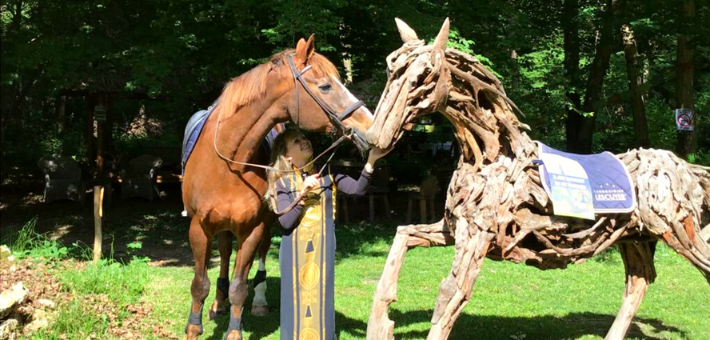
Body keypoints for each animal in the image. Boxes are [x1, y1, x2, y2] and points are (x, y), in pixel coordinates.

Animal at [182, 35, 372, 340]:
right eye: (326, 86)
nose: (370, 124)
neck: (229, 162)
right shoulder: (199, 227)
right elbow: (200, 283)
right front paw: (194, 326)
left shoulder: (252, 228)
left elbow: (239, 286)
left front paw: (235, 330)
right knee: (224, 253)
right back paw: (218, 304)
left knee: (256, 259)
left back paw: (257, 301)